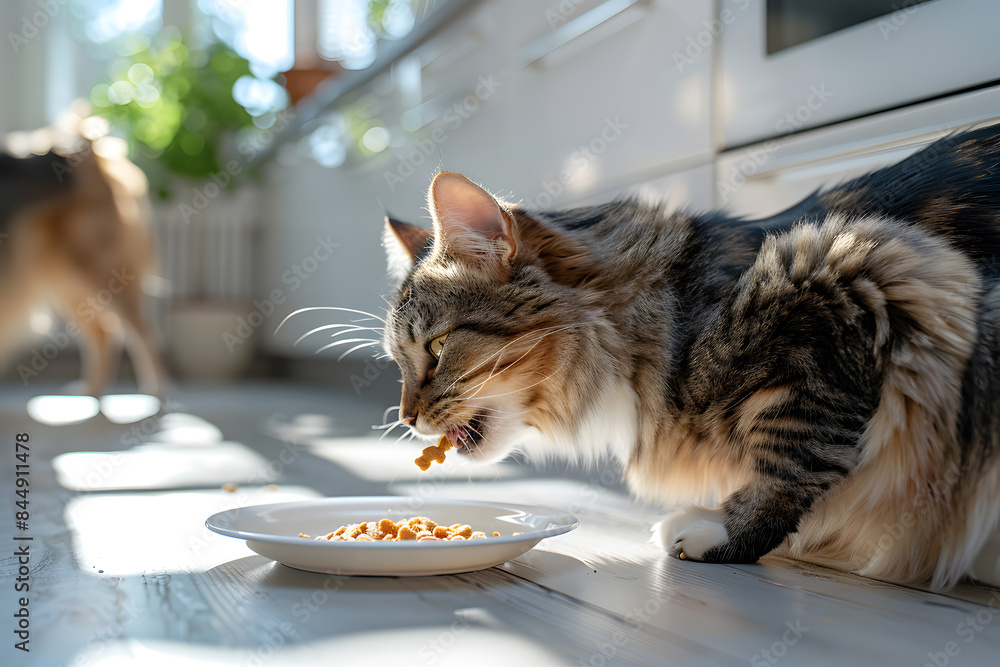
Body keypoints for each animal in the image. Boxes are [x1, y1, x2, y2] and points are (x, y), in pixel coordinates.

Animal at [0, 112, 166, 400]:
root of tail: (93, 151)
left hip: (99, 269)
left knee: (144, 334)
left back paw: (155, 396)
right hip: (62, 278)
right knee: (103, 333)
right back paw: (93, 391)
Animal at [378, 122, 1000, 588]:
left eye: (437, 348)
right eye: (398, 364)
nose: (407, 419)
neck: (673, 316)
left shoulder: (848, 278)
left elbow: (795, 457)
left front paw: (723, 534)